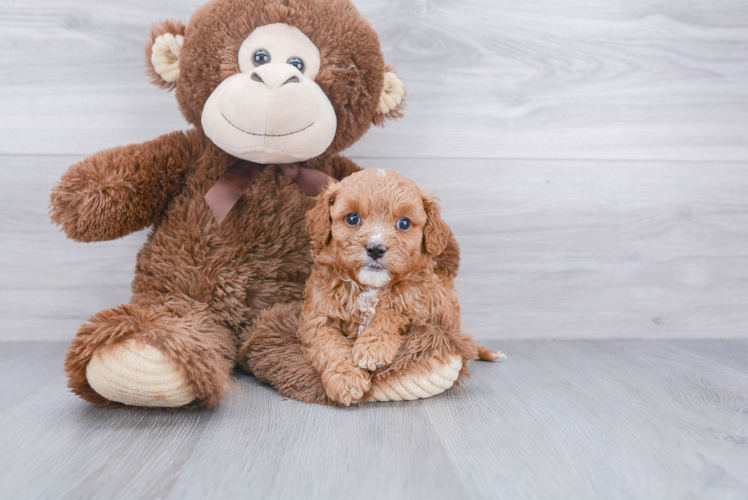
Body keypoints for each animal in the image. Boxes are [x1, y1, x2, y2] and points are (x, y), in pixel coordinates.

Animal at [300, 168, 500, 406]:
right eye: (352, 218)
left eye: (404, 223)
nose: (375, 248)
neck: (370, 287)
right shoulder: (319, 318)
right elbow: (330, 345)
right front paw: (347, 381)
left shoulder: (421, 307)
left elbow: (392, 312)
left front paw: (372, 348)